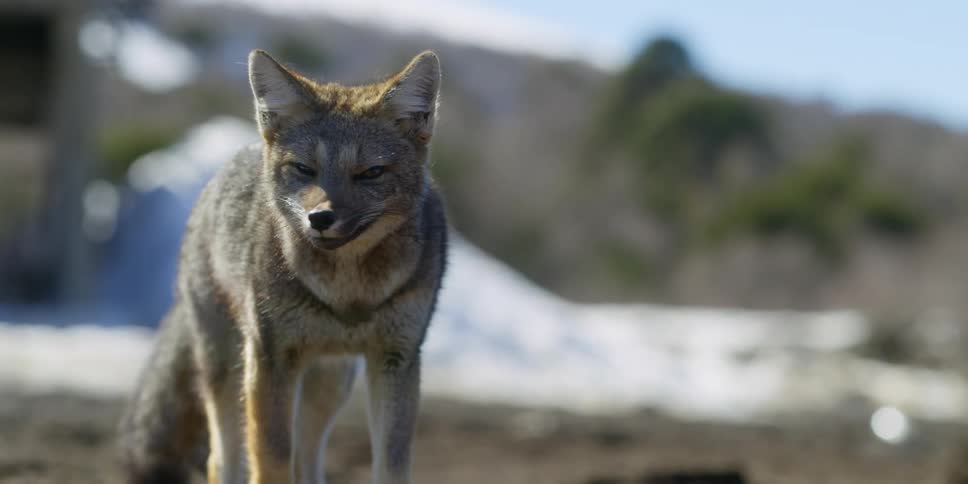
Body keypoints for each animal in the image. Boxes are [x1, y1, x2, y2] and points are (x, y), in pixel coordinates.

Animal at [119, 49, 447, 484]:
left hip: (330, 384)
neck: (348, 294)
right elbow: (271, 460)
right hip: (230, 370)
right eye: (305, 169)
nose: (320, 218)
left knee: (306, 462)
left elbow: (391, 466)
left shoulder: (398, 360)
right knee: (221, 460)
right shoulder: (270, 358)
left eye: (370, 173)